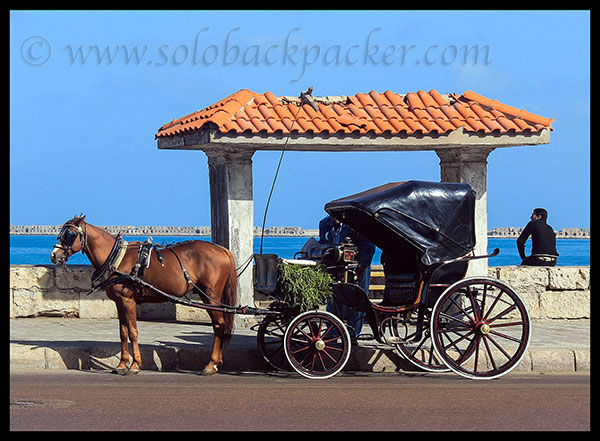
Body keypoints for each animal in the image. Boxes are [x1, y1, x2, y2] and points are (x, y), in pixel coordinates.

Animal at [49, 215, 237, 372]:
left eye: (70, 234)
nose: (53, 255)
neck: (117, 258)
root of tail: (222, 249)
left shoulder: (128, 300)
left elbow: (133, 331)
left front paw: (135, 365)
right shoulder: (119, 302)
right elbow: (123, 332)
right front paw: (122, 364)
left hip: (210, 295)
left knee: (219, 324)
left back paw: (211, 364)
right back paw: (217, 362)